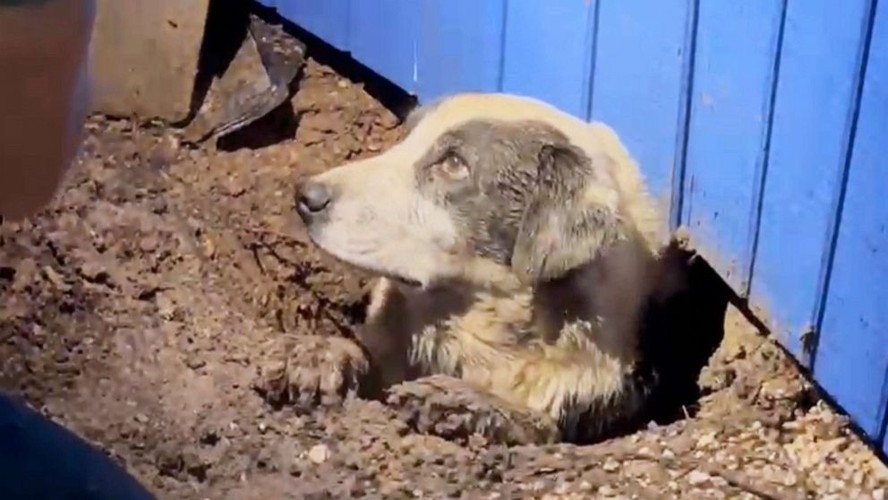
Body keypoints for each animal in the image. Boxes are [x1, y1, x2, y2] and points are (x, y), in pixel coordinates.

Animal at [264, 92, 680, 444]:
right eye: (405, 140)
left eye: (453, 163)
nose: (306, 197)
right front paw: (317, 354)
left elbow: (539, 422)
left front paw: (459, 400)